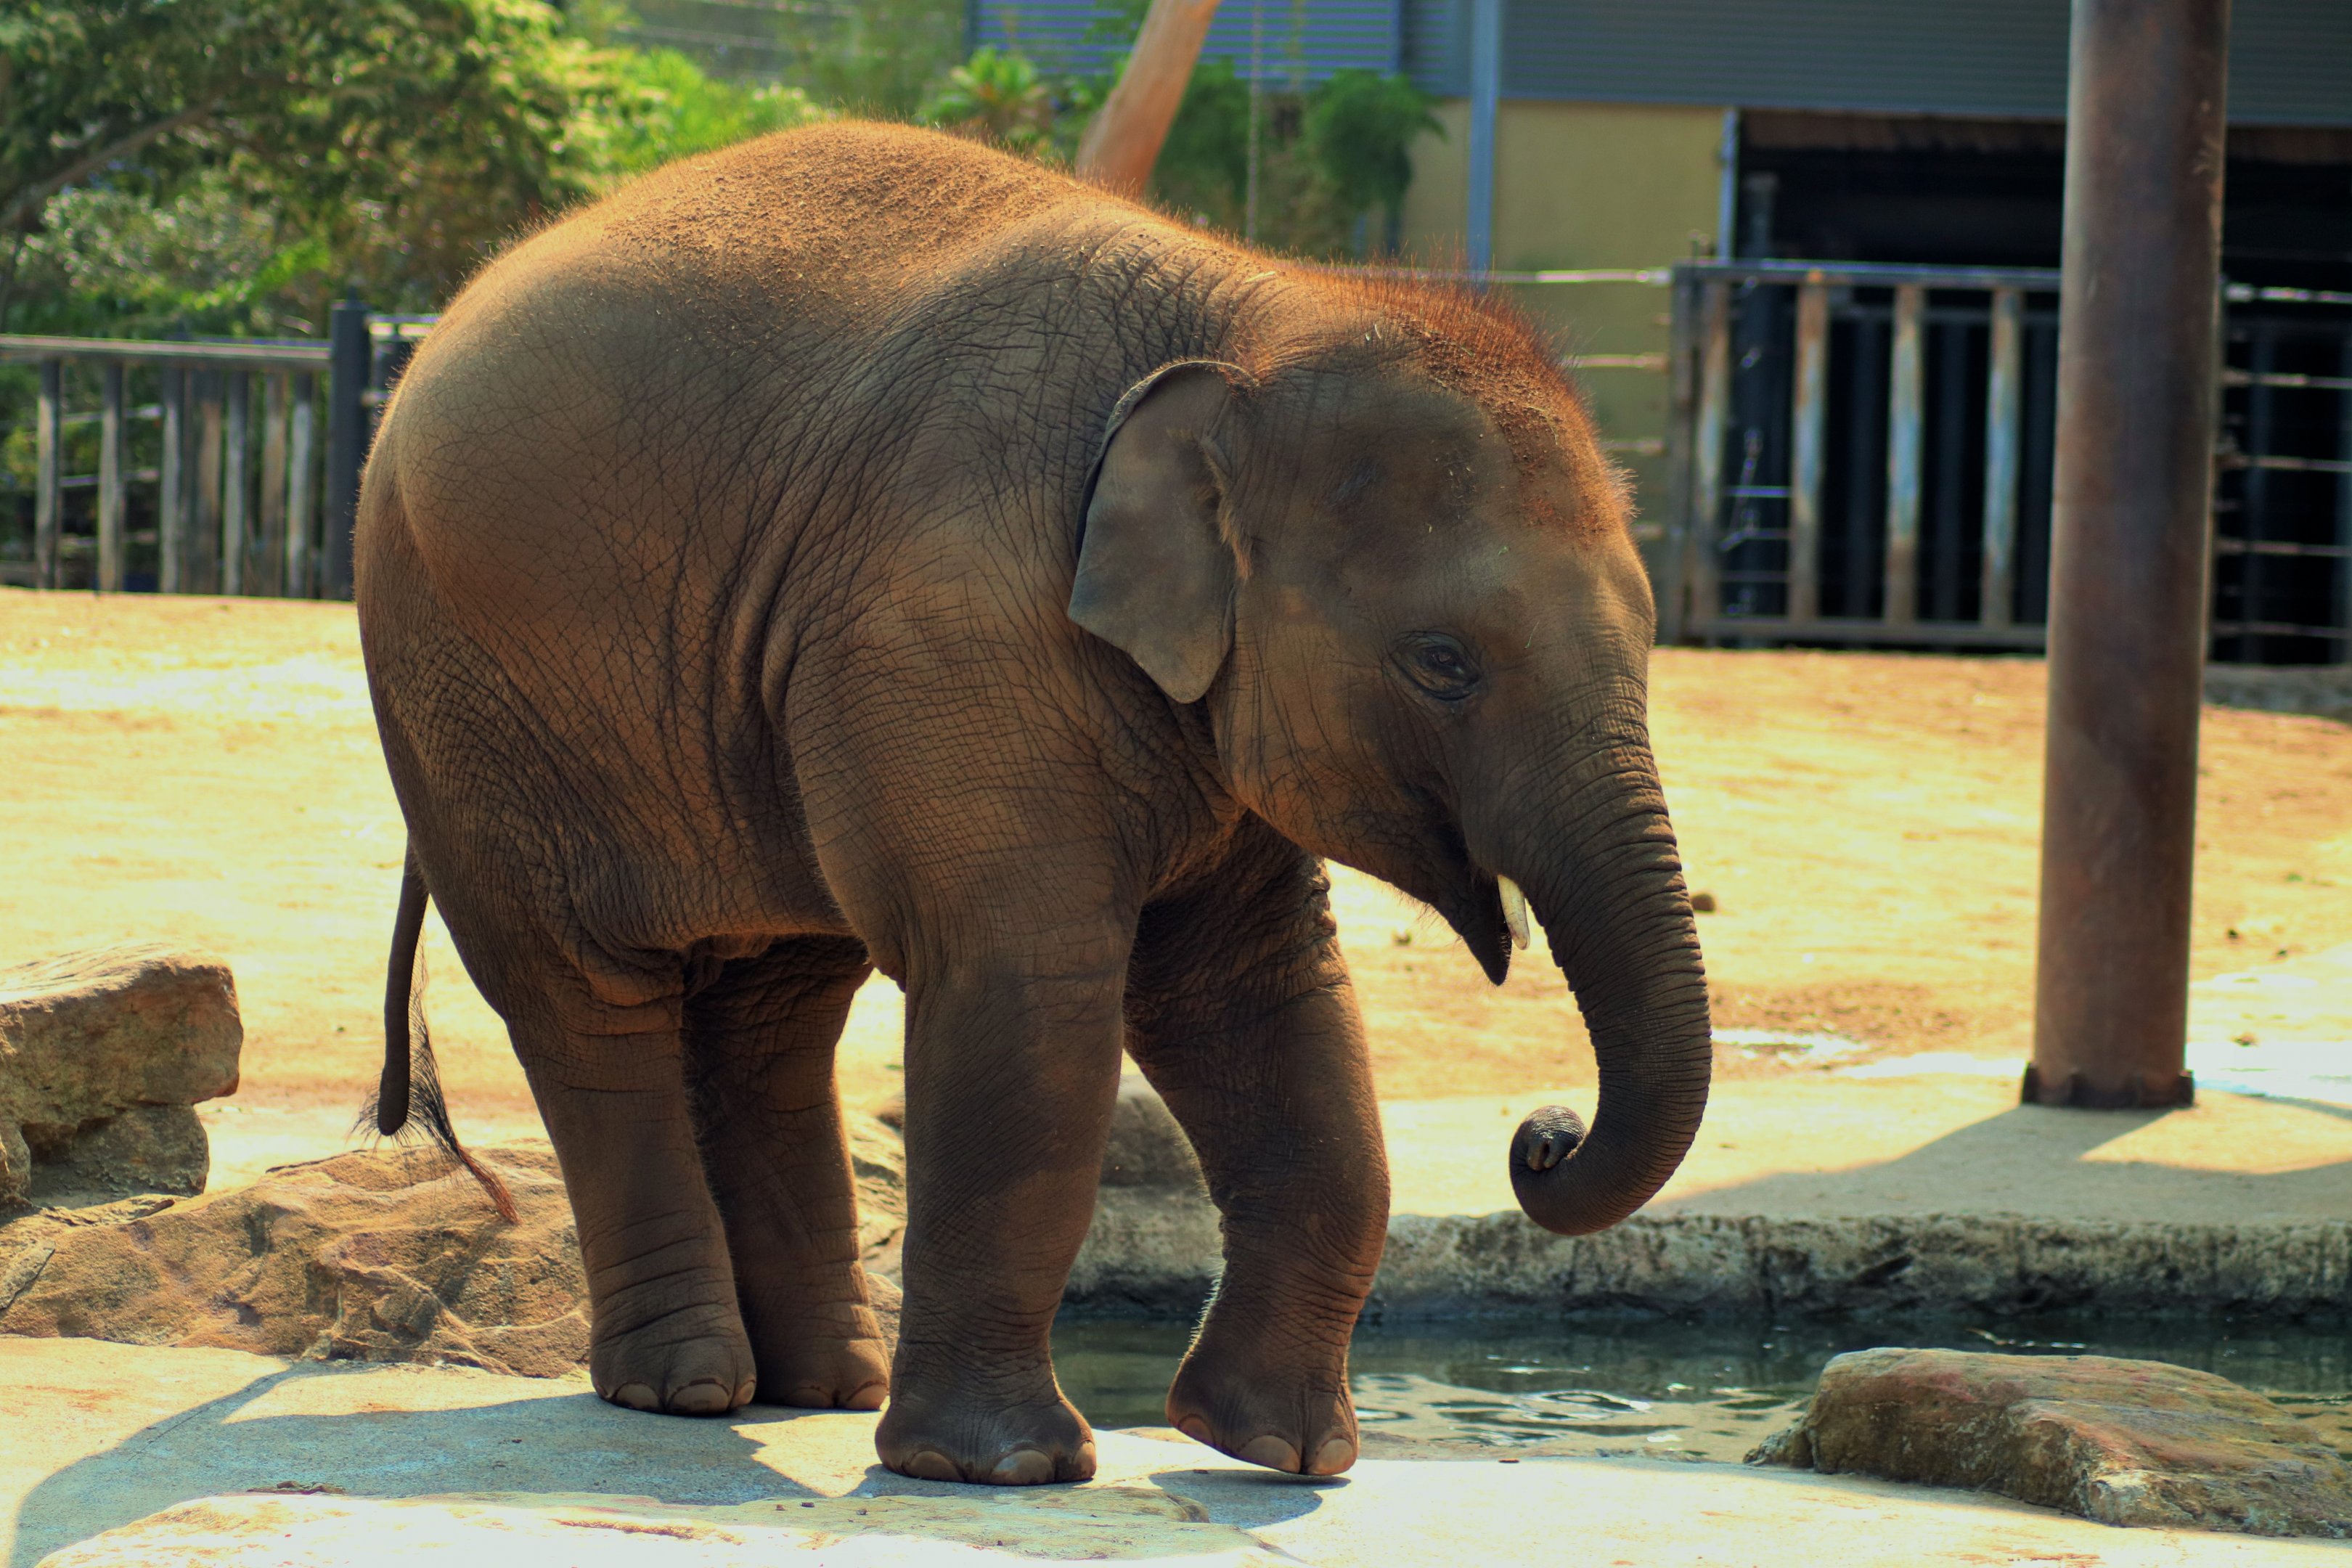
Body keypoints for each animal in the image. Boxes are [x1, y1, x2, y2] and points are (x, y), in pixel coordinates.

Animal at [354, 121, 1711, 1487]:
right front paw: (1008, 1469)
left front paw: (1284, 1455)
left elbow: (1261, 993)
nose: (1541, 1136)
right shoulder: (947, 626)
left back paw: (820, 1387)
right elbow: (1032, 987)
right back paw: (685, 1390)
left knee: (773, 1008)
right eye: (1442, 663)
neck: (1257, 313)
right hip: (467, 703)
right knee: (587, 1001)